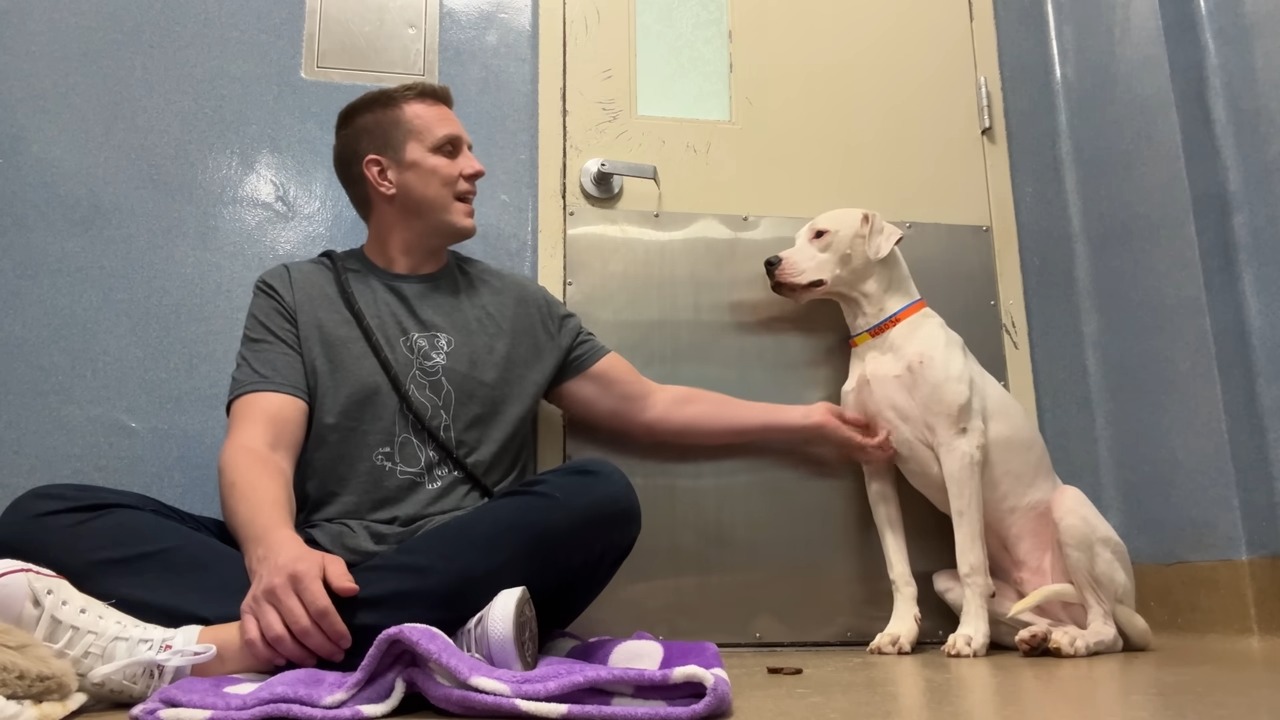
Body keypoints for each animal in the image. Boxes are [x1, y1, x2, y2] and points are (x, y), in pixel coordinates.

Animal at [757, 207, 1152, 655]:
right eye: (796, 237)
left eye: (820, 234)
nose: (769, 262)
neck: (882, 338)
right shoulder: (876, 465)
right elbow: (898, 567)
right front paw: (899, 631)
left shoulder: (958, 449)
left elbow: (970, 560)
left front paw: (969, 636)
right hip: (962, 585)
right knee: (1040, 616)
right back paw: (1040, 636)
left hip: (1072, 510)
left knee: (1107, 628)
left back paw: (1074, 640)